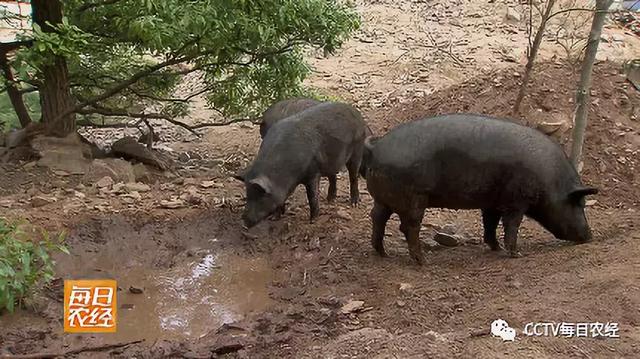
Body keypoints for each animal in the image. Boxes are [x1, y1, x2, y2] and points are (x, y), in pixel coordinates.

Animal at [235, 101, 368, 228]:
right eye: (248, 195)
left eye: (260, 196)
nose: (244, 222)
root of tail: (356, 113)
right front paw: (274, 218)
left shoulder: (313, 172)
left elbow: (312, 196)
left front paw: (313, 221)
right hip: (332, 160)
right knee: (333, 176)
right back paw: (330, 200)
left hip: (357, 149)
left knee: (353, 176)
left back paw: (354, 203)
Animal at [364, 114, 600, 264]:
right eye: (579, 203)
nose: (590, 236)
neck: (551, 181)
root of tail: (377, 147)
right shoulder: (517, 201)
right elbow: (511, 225)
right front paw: (516, 254)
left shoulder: (493, 202)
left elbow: (490, 224)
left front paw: (495, 248)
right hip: (415, 198)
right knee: (408, 226)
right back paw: (423, 261)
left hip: (383, 199)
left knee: (377, 217)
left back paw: (383, 254)